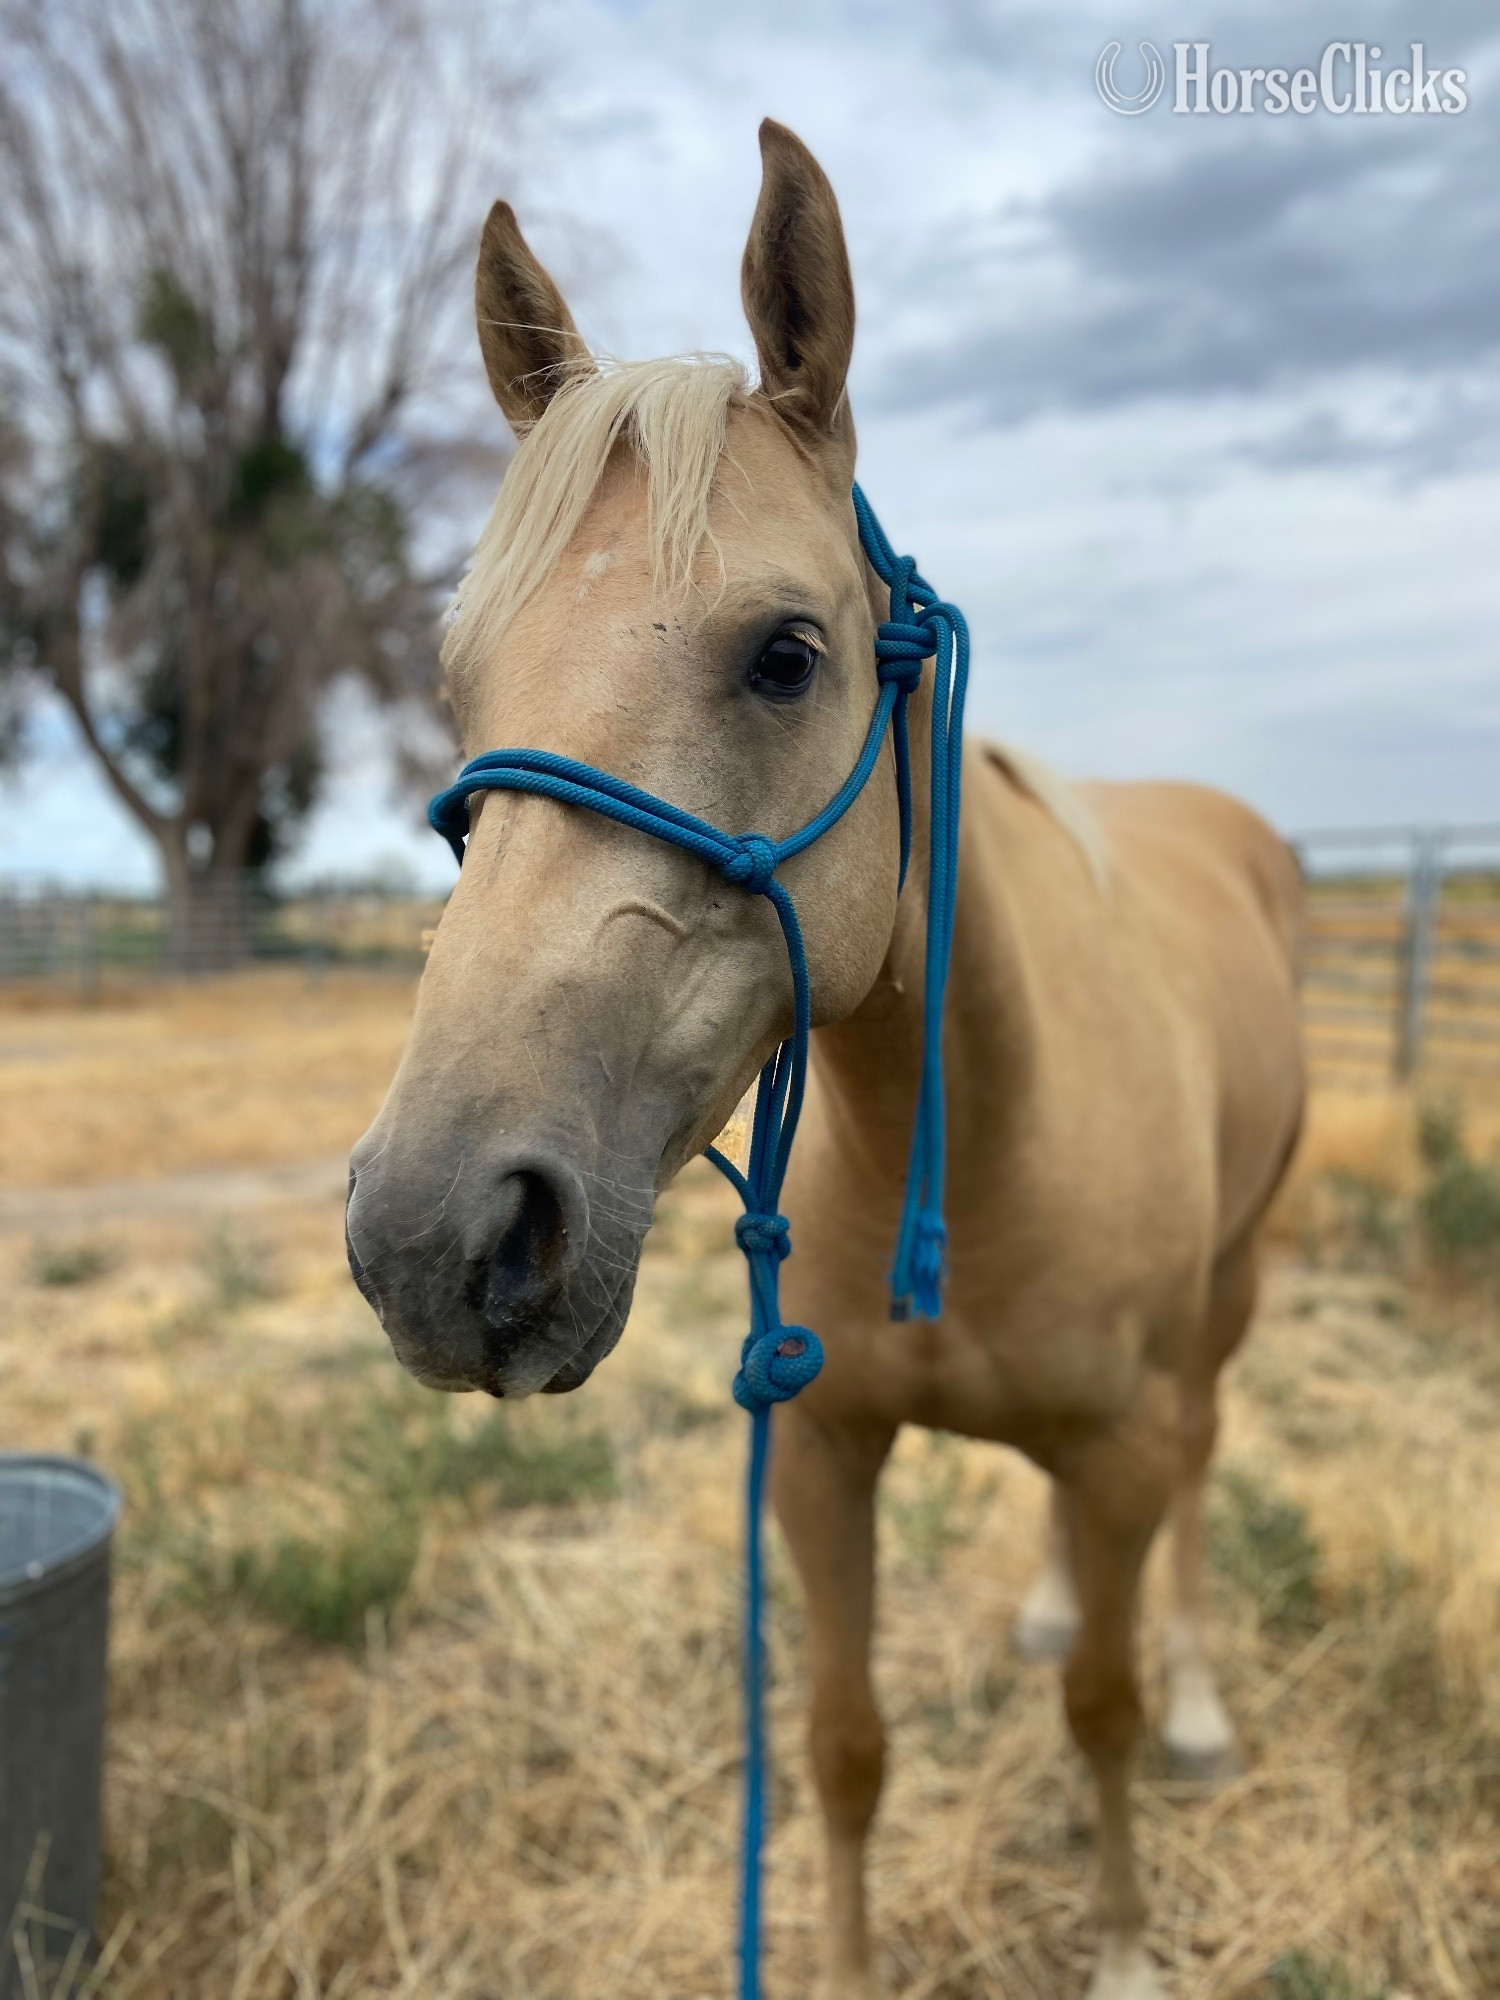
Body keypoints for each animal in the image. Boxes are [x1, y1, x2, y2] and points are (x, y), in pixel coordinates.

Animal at [345, 120, 1305, 2000]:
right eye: (457, 675)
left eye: (786, 656)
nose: (435, 1238)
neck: (984, 1128)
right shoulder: (822, 1459)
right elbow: (846, 1744)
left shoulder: (1120, 1444)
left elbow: (1100, 1712)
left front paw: (1124, 1942)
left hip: (1225, 1306)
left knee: (1202, 1476)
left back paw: (1205, 1704)